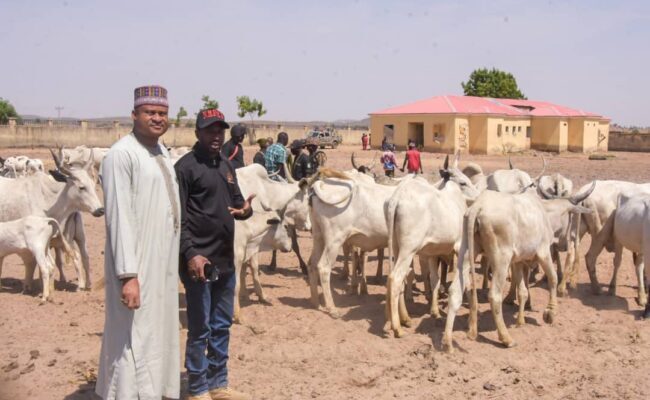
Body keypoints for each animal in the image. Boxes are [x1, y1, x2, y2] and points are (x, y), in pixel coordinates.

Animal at [440, 183, 592, 352]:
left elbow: (523, 291)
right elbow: (553, 278)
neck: (544, 213)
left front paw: (521, 320)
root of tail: (478, 207)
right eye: (571, 217)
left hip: (467, 252)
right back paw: (506, 338)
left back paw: (447, 342)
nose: (566, 244)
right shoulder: (543, 252)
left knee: (455, 291)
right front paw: (550, 313)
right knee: (494, 296)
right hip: (501, 258)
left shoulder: (518, 262)